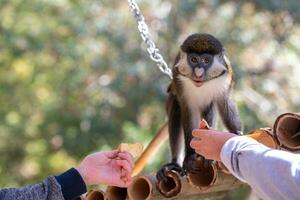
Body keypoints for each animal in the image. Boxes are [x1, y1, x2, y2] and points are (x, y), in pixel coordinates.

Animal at [156, 32, 243, 180]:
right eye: (194, 59)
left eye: (206, 61)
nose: (198, 72)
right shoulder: (179, 78)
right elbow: (187, 110)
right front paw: (189, 156)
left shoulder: (225, 77)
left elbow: (225, 102)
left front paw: (237, 133)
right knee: (176, 108)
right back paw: (175, 163)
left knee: (211, 106)